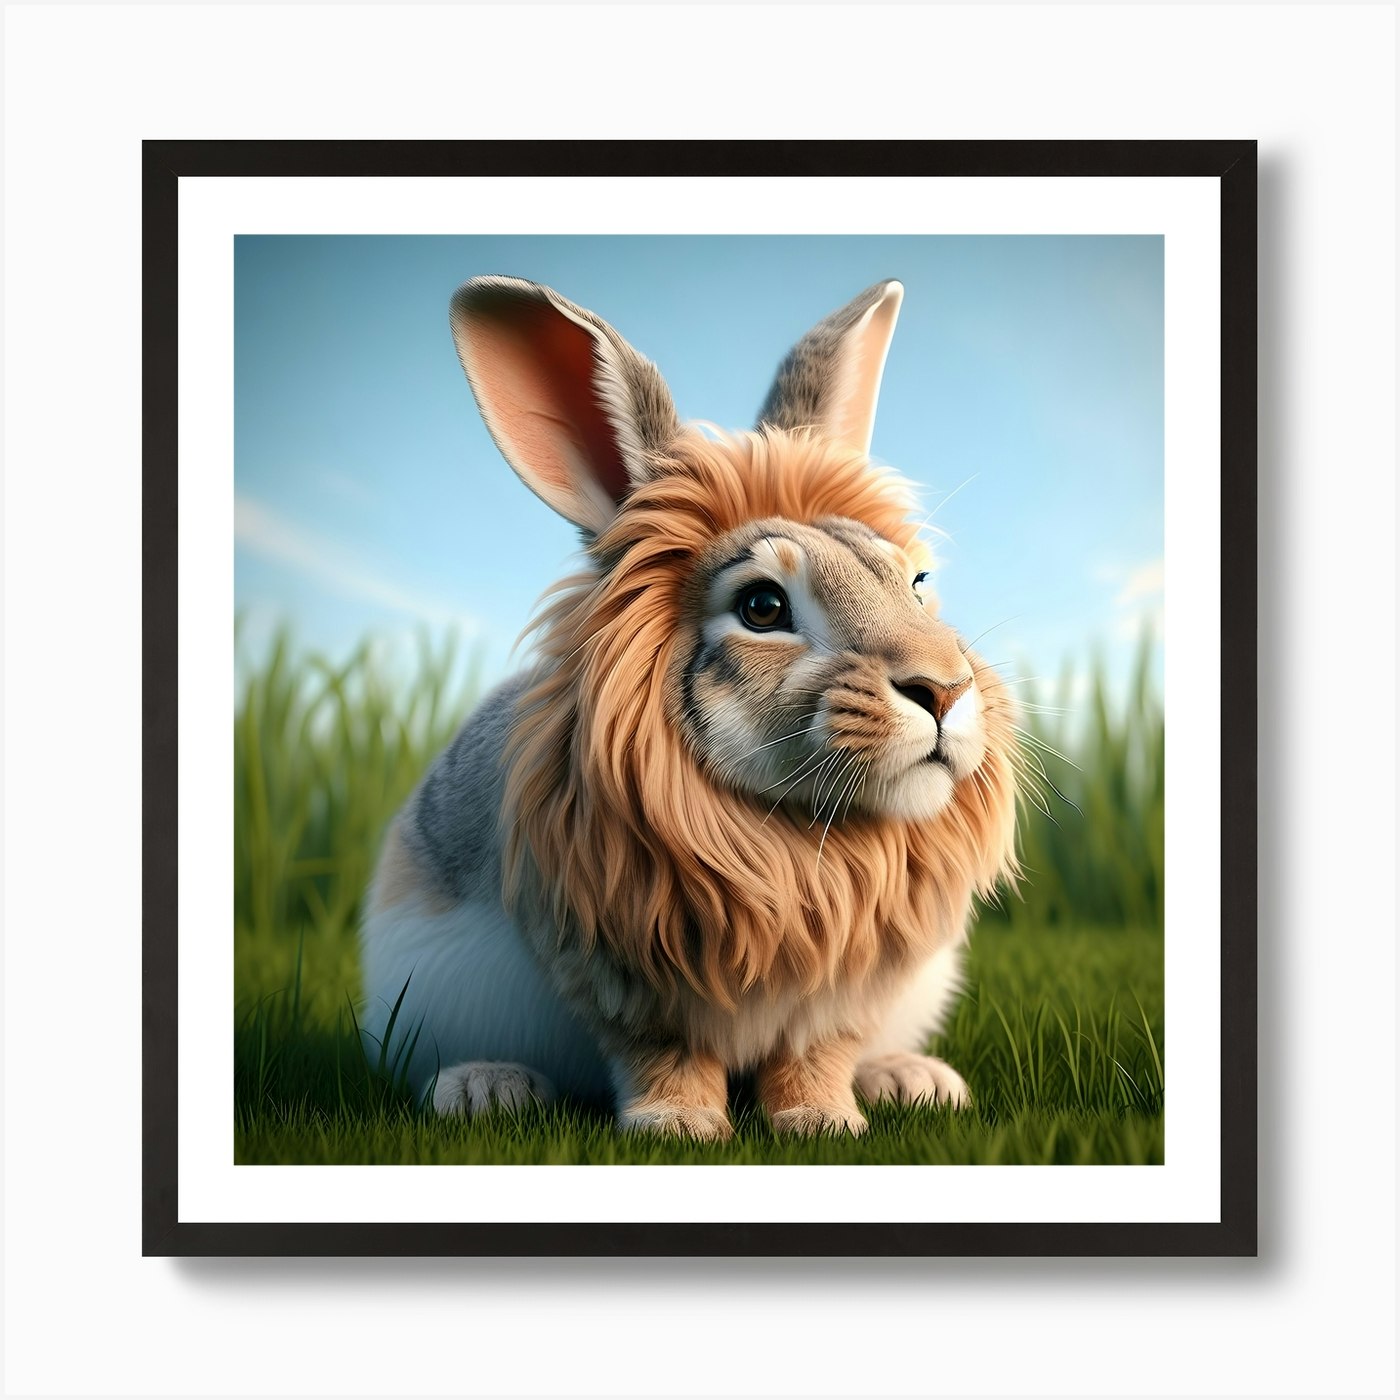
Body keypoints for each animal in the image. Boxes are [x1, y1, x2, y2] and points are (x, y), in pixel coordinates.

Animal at [358, 275, 1019, 1139]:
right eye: (763, 607)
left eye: (914, 583)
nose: (943, 689)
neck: (798, 836)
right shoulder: (621, 975)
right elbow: (663, 1052)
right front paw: (678, 1126)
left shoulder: (845, 994)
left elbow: (817, 1054)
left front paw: (823, 1121)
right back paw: (485, 1089)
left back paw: (913, 1079)